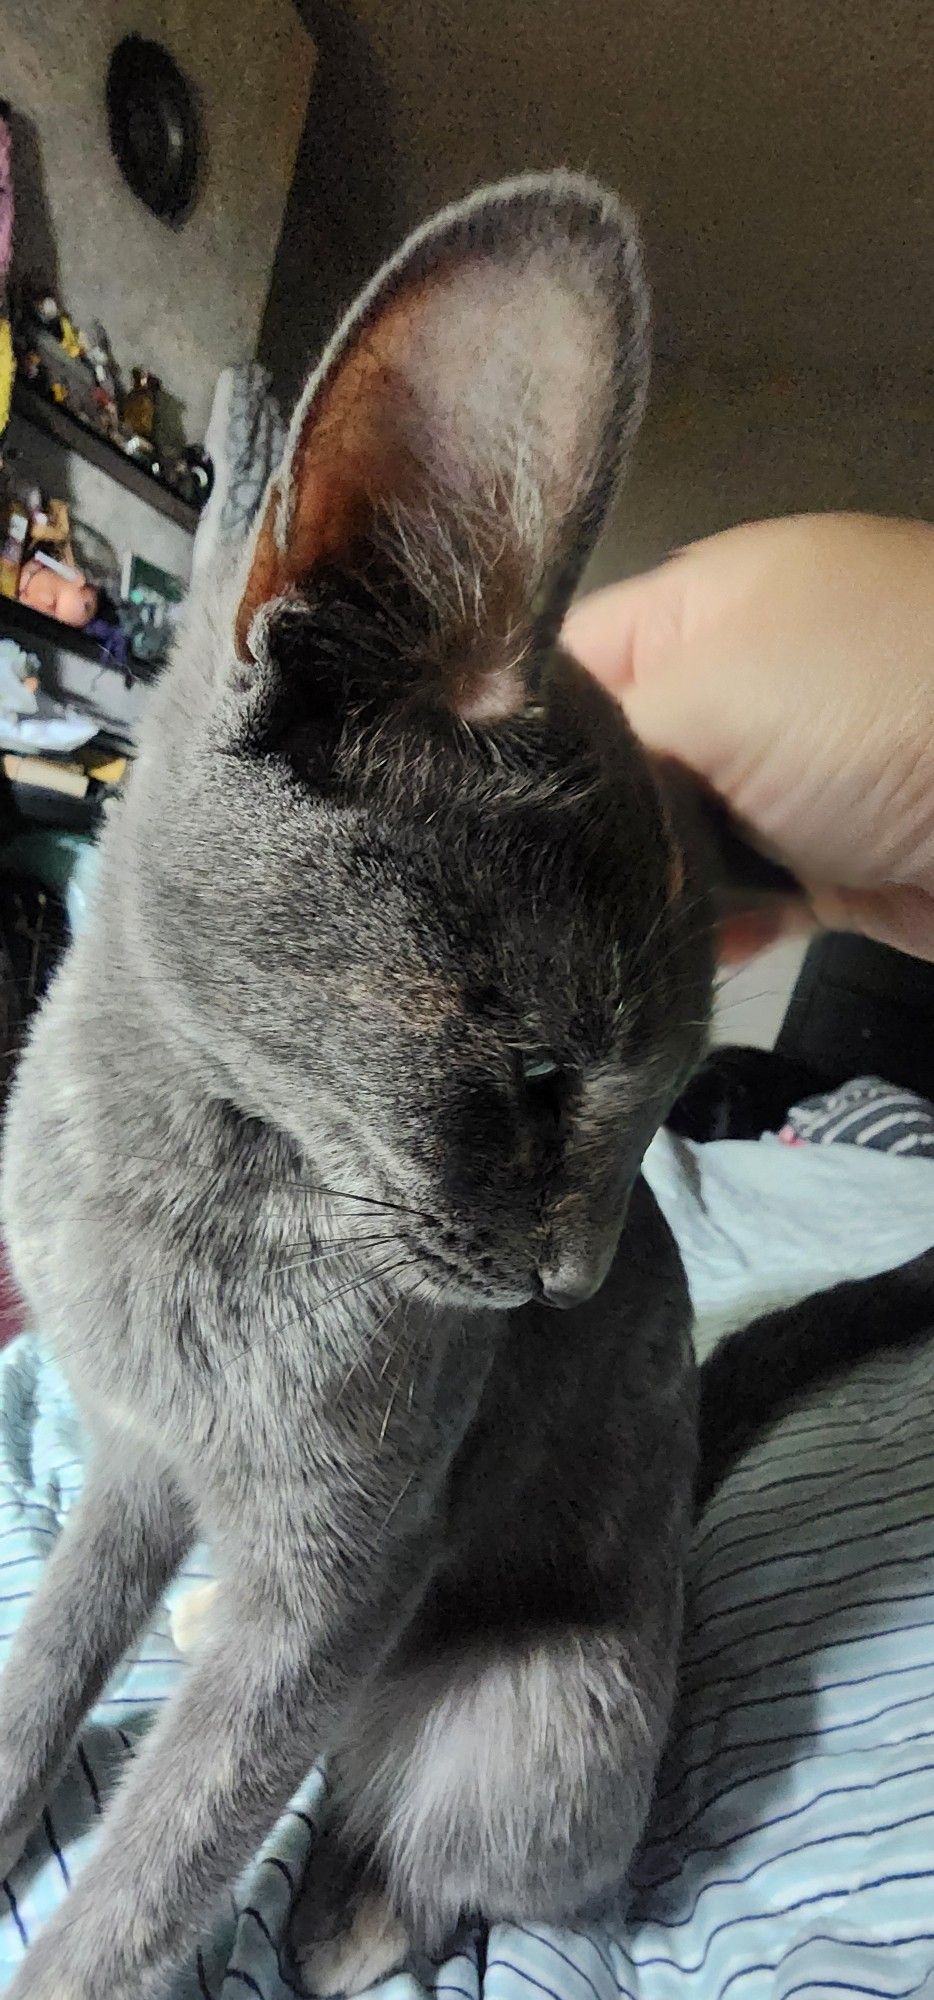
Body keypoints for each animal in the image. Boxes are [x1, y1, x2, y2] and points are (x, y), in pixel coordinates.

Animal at [0, 176, 716, 2000]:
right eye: (537, 1077)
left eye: (667, 1101)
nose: (572, 1282)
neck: (168, 1162)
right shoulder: (131, 1460)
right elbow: (42, 1671)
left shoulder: (339, 1574)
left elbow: (161, 1864)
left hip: (532, 1709)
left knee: (500, 1862)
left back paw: (348, 1914)